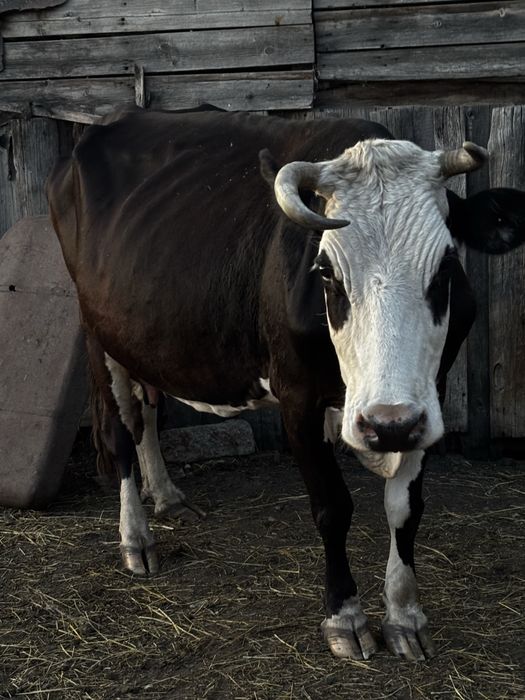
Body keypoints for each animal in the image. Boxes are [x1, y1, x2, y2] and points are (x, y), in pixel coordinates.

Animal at [47, 107, 525, 662]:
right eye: (326, 272)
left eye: (446, 266)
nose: (386, 424)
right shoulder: (298, 399)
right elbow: (333, 507)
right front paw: (345, 618)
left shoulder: (429, 400)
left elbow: (405, 510)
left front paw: (405, 617)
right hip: (97, 335)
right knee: (121, 431)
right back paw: (136, 540)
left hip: (142, 338)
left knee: (146, 412)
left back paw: (168, 497)